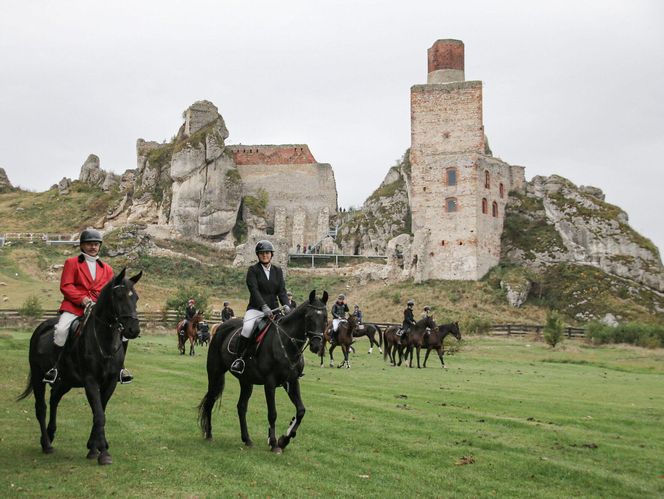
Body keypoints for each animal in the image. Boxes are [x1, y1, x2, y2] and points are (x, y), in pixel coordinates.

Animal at [17, 268, 142, 466]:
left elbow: (100, 411)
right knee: (41, 408)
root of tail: (41, 327)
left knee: (54, 399)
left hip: (66, 381)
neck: (104, 340)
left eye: (136, 297)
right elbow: (99, 414)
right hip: (38, 376)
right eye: (119, 296)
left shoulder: (110, 382)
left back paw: (51, 434)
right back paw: (46, 444)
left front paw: (93, 447)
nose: (134, 330)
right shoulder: (90, 381)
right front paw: (103, 452)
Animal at [200, 292, 330, 456]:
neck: (286, 343)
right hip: (215, 373)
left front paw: (284, 440)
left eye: (325, 317)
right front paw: (274, 443)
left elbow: (301, 411)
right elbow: (272, 413)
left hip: (246, 381)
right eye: (309, 317)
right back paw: (209, 434)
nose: (317, 346)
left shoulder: (292, 382)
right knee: (210, 400)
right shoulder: (270, 383)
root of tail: (221, 326)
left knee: (241, 407)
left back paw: (247, 440)